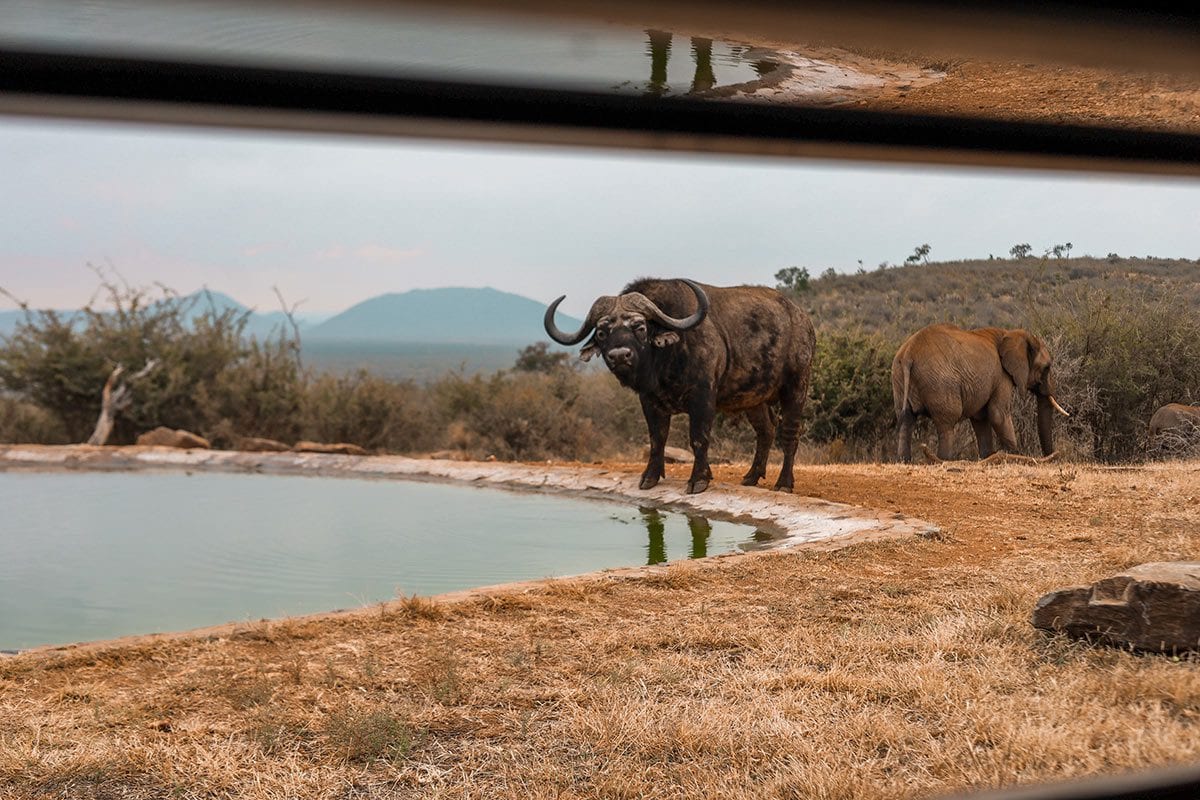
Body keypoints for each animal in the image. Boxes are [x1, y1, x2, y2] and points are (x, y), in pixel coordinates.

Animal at [544, 278, 816, 494]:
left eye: (639, 327)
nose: (620, 355)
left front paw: (699, 479)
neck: (664, 362)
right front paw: (650, 477)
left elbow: (698, 438)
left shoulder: (703, 398)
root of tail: (802, 319)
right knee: (766, 431)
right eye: (601, 332)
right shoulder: (649, 401)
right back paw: (751, 476)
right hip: (753, 399)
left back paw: (784, 483)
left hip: (796, 387)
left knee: (789, 433)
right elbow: (657, 439)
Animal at [892, 323, 1070, 462]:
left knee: (906, 419)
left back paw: (904, 461)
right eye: (1046, 367)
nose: (1055, 454)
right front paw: (1013, 455)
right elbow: (998, 414)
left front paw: (987, 456)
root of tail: (909, 354)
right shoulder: (1001, 376)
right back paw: (944, 460)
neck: (1009, 334)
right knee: (947, 422)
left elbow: (980, 418)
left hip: (899, 378)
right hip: (939, 382)